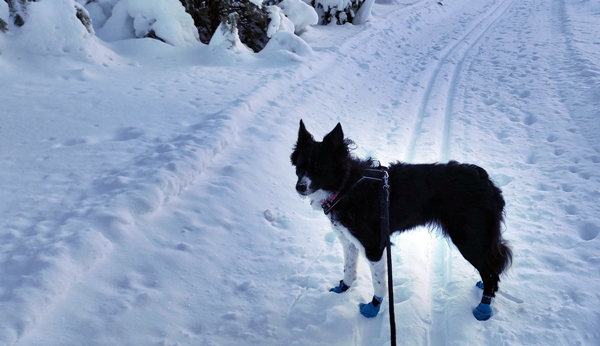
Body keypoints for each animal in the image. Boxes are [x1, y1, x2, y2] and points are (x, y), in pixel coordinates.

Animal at [290, 120, 510, 320]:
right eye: (300, 167)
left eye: (318, 167)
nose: (299, 187)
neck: (346, 187)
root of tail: (485, 180)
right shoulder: (348, 240)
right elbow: (349, 269)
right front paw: (343, 287)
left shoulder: (374, 247)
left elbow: (379, 283)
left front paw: (373, 307)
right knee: (492, 265)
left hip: (469, 239)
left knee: (490, 270)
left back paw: (484, 305)